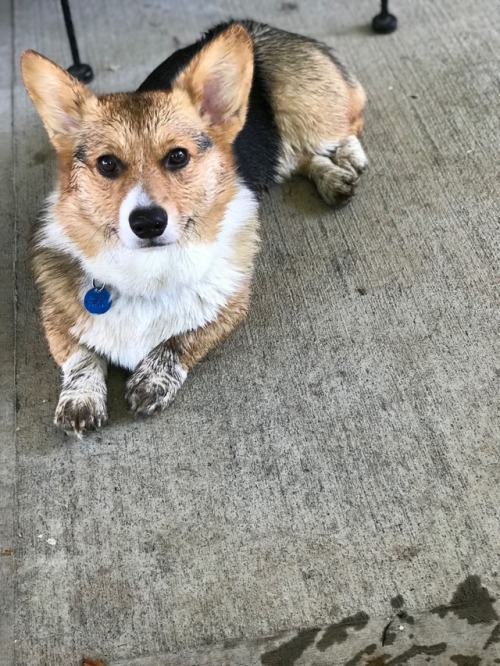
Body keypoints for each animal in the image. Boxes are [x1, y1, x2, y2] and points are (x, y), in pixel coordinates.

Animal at [20, 20, 368, 434]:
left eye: (178, 156)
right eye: (106, 164)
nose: (148, 223)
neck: (148, 271)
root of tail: (257, 25)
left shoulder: (229, 306)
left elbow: (180, 339)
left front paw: (152, 379)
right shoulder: (56, 317)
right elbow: (81, 357)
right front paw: (80, 399)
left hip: (308, 111)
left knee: (347, 125)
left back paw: (350, 157)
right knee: (300, 157)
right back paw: (333, 178)